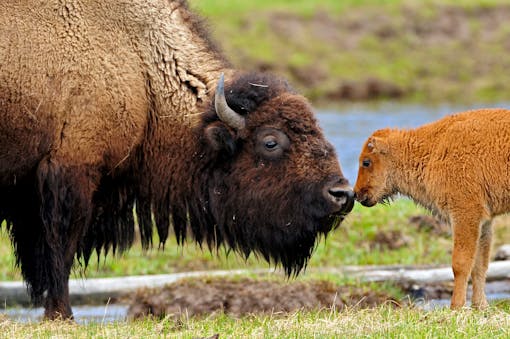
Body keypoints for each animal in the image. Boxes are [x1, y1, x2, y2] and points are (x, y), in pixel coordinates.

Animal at [0, 0, 352, 320]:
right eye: (270, 141)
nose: (341, 194)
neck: (141, 70)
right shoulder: (69, 175)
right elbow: (59, 251)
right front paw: (61, 315)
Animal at [352, 109, 510, 310]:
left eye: (366, 162)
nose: (356, 193)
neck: (433, 147)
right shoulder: (485, 221)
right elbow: (479, 264)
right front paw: (480, 306)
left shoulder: (465, 213)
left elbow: (460, 263)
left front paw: (455, 306)